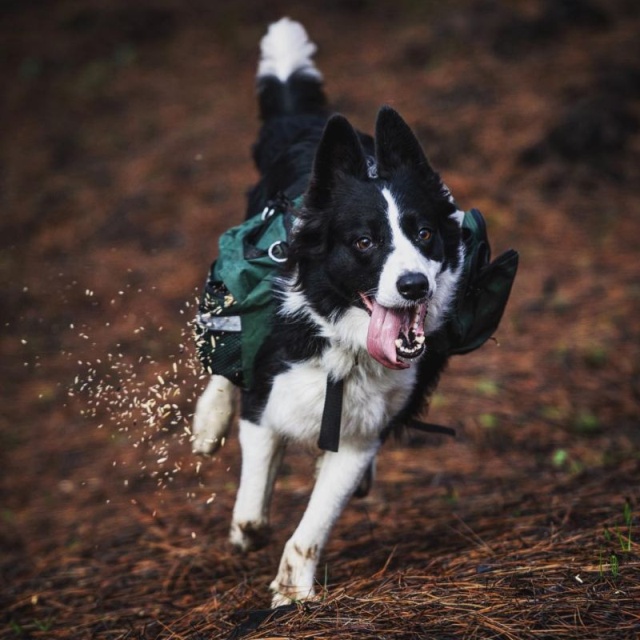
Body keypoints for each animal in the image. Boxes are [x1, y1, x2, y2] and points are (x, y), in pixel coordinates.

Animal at [192, 17, 468, 608]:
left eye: (424, 233)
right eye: (364, 242)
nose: (413, 286)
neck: (344, 342)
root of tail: (309, 128)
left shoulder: (359, 437)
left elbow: (313, 523)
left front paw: (292, 592)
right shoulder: (266, 401)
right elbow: (253, 504)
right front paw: (248, 532)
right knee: (226, 342)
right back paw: (208, 420)